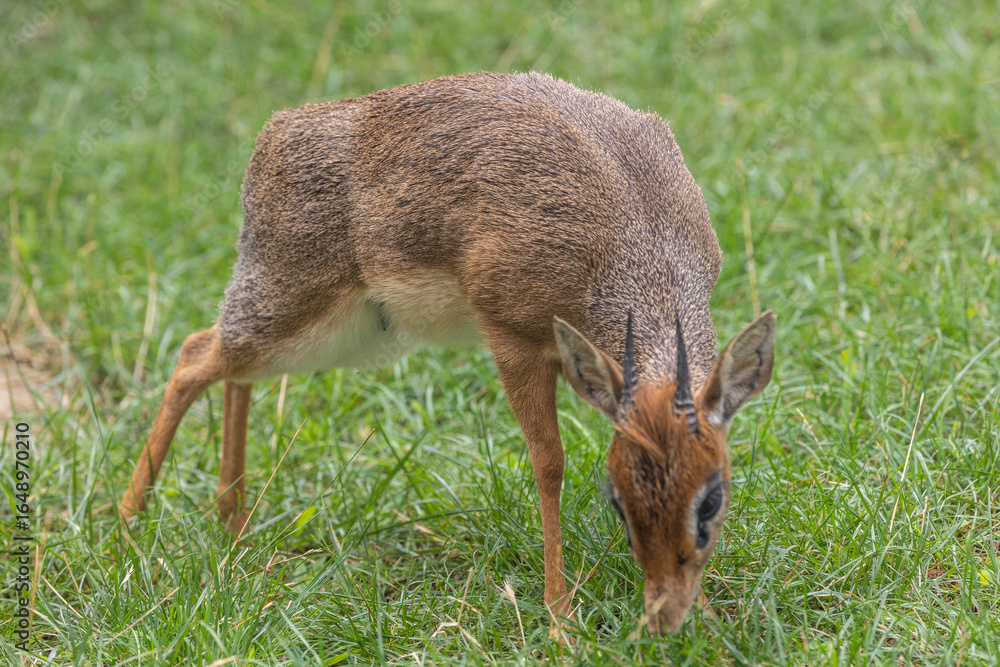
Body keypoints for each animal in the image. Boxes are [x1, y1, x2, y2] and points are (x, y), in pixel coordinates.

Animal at [118, 71, 775, 635]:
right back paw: (127, 524)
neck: (636, 246)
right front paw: (560, 620)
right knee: (194, 353)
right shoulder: (512, 339)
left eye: (713, 499)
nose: (666, 615)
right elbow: (549, 462)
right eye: (616, 503)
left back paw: (232, 523)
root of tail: (274, 133)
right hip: (294, 306)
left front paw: (709, 611)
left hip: (345, 335)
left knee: (232, 371)